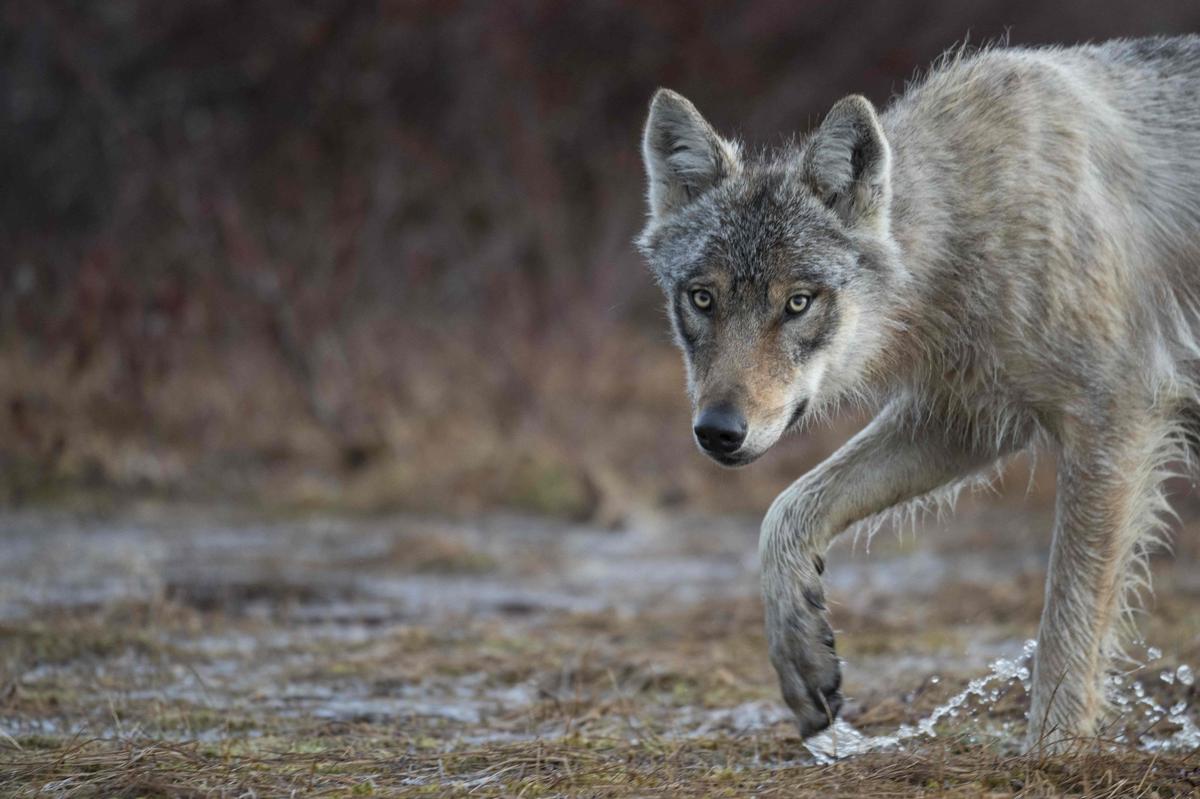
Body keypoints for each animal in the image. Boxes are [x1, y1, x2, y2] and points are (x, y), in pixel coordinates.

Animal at [633, 37, 1200, 748]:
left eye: (798, 303)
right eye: (702, 299)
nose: (717, 431)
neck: (972, 224)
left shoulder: (1114, 419)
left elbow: (1066, 626)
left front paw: (1051, 754)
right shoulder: (967, 419)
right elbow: (784, 513)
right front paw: (803, 660)